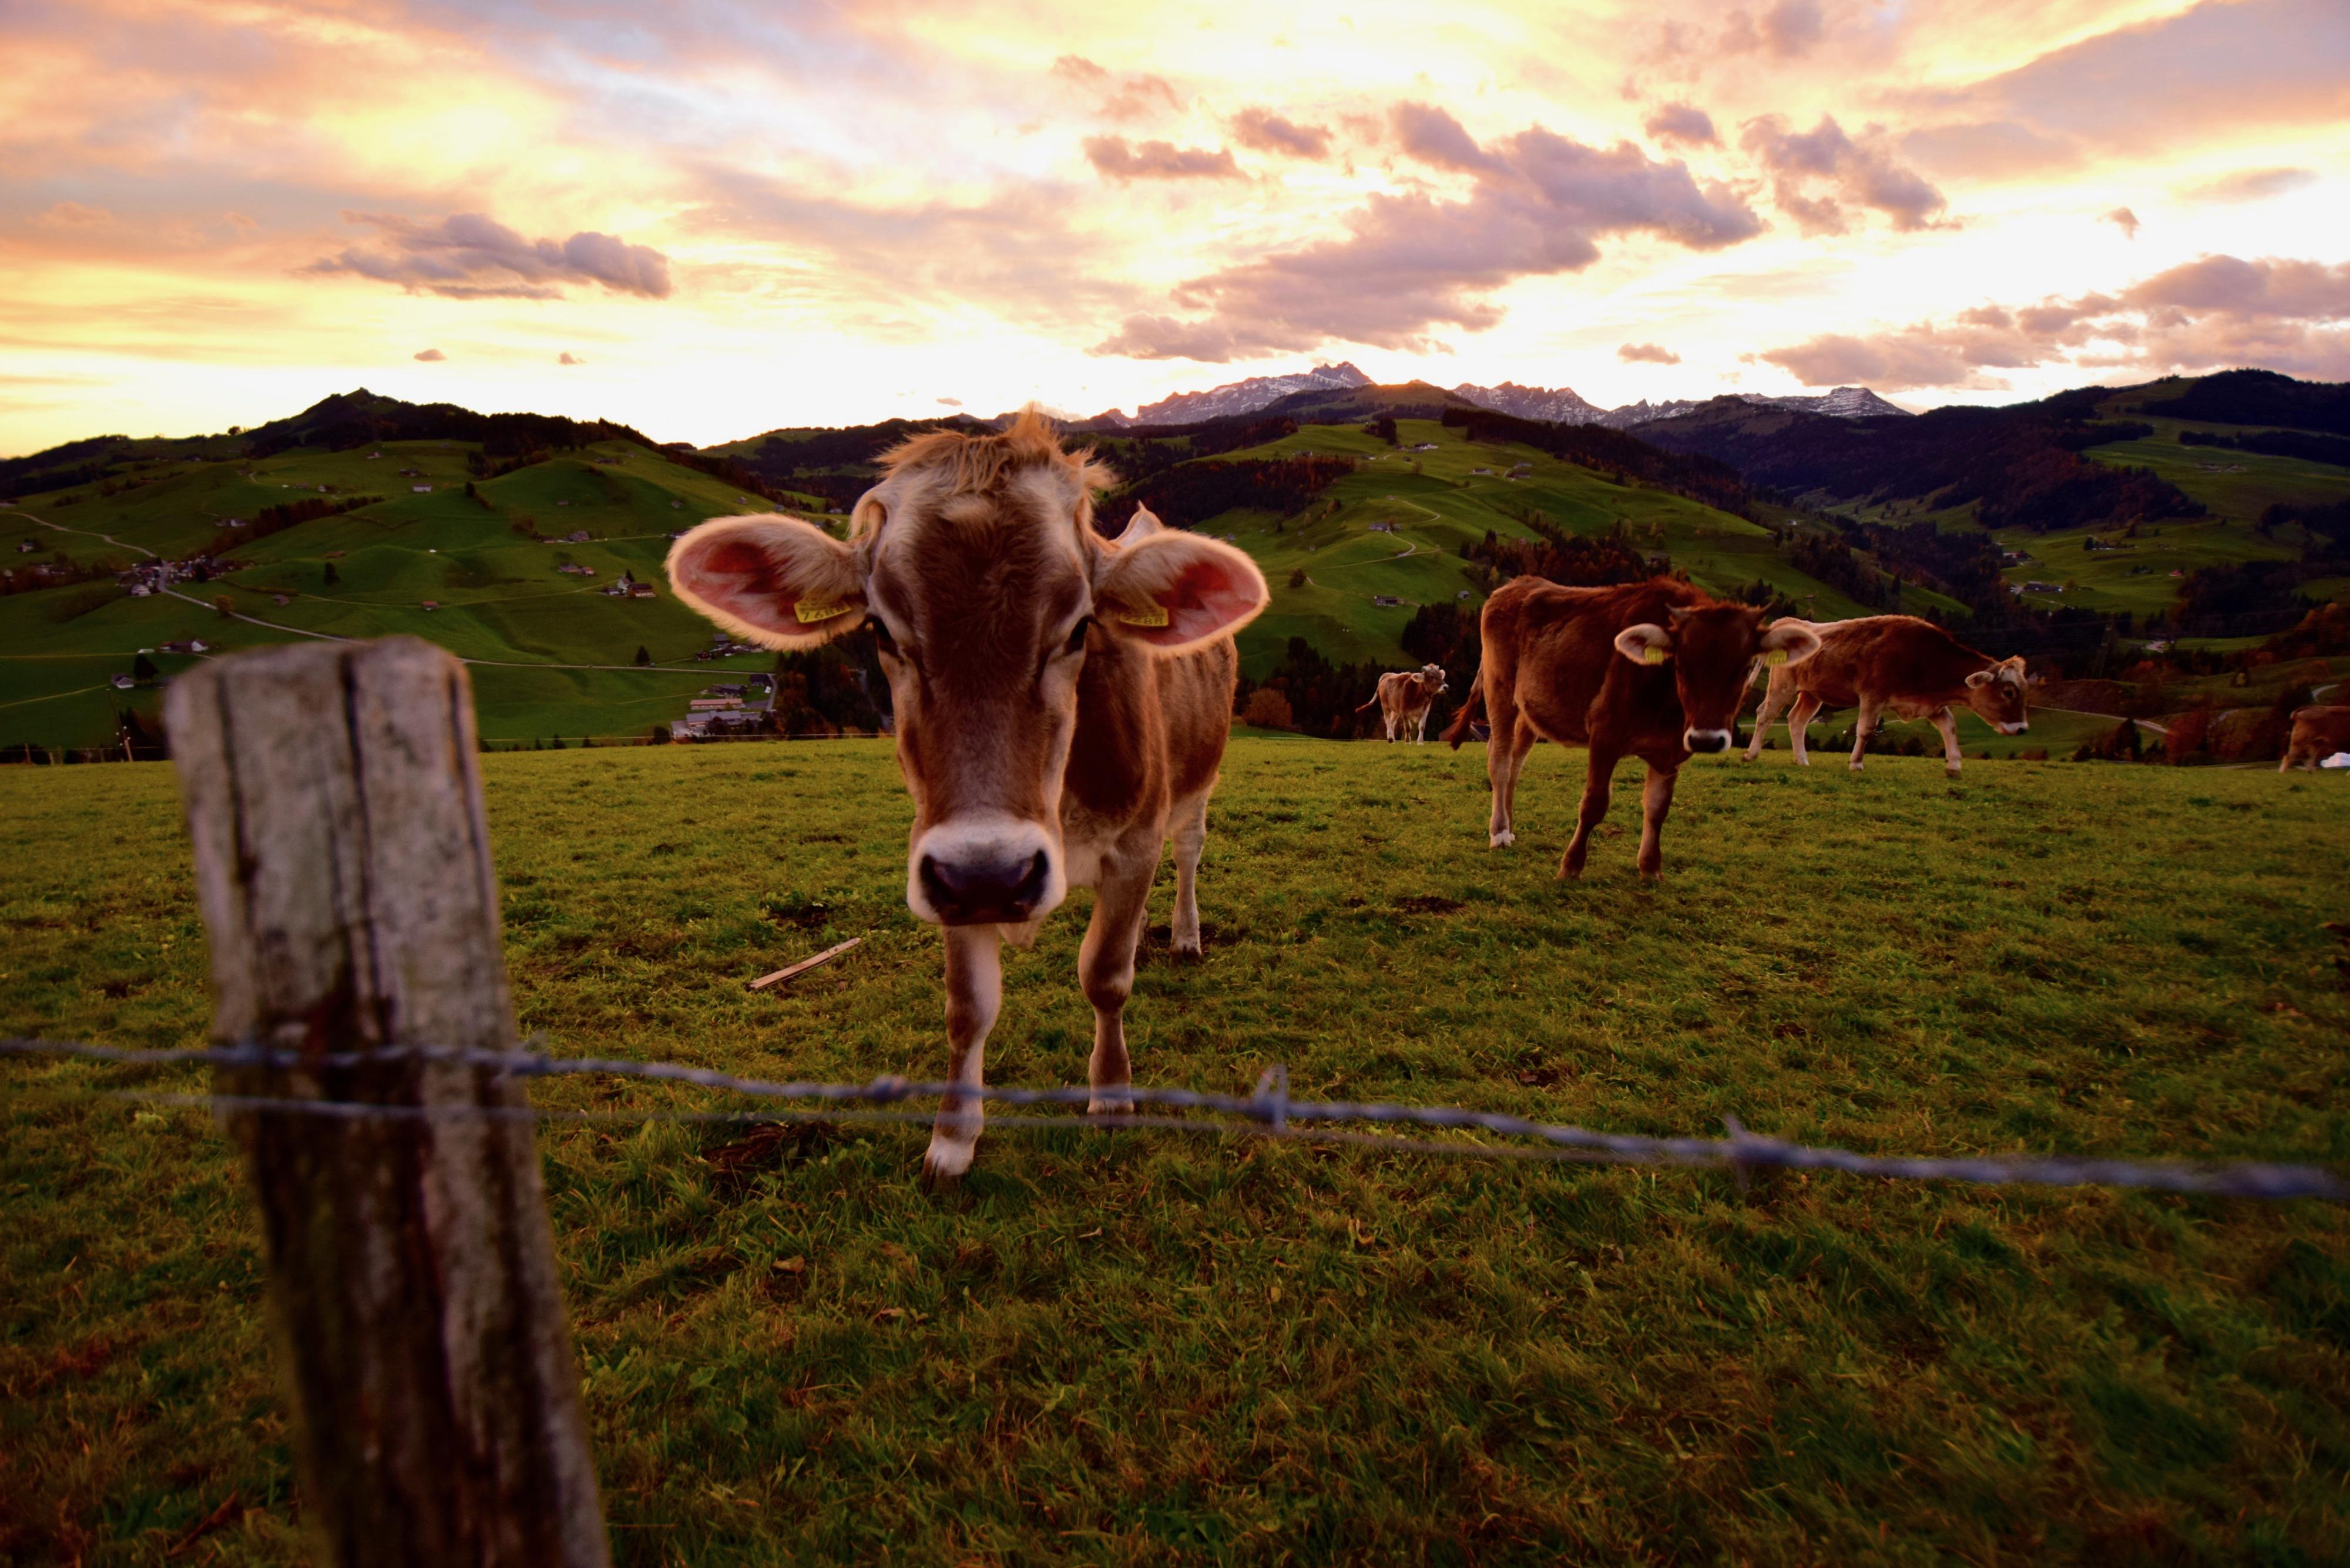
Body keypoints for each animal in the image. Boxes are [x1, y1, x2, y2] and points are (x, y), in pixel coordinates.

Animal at [666, 413, 1268, 1181]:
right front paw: (952, 1138)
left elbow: (1105, 975)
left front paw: (1111, 1096)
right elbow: (967, 1006)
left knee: (1190, 850)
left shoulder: (1134, 842)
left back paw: (1186, 934)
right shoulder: (944, 865)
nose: (996, 873)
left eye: (1079, 625)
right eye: (878, 628)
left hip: (1199, 777)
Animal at [1355, 663, 1449, 742]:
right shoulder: (1404, 711)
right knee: (1388, 720)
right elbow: (1408, 727)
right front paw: (1407, 741)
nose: (1446, 687)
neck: (1418, 695)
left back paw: (1392, 738)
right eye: (1432, 676)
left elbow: (1422, 727)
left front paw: (1420, 742)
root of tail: (1386, 675)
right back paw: (1390, 738)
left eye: (1441, 676)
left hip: (1396, 710)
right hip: (1385, 706)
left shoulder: (1425, 710)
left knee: (1392, 721)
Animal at [1443, 577, 1821, 879]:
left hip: (1531, 708)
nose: (1707, 739)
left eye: (1744, 669)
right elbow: (1594, 804)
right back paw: (1499, 832)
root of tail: (1513, 585)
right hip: (1499, 688)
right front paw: (1571, 866)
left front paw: (1651, 868)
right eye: (1680, 666)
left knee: (1516, 764)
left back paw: (1510, 826)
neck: (1665, 707)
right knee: (1500, 761)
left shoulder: (1671, 751)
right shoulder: (1604, 734)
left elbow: (1657, 809)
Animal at [1741, 614, 2029, 778]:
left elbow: (1950, 727)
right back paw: (1751, 754)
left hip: (1812, 693)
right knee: (1765, 714)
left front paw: (1954, 766)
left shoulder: (1929, 703)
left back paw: (1802, 760)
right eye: (2008, 692)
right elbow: (1866, 730)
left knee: (1797, 720)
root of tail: (1791, 622)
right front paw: (1856, 764)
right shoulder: (1873, 694)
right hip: (1783, 684)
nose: (2023, 729)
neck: (1922, 657)